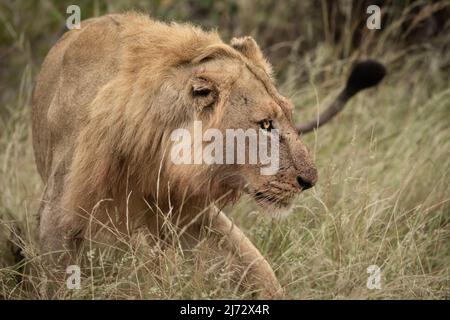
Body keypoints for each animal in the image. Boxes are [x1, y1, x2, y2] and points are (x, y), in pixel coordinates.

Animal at [31, 12, 384, 298]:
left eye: (289, 115)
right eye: (265, 124)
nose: (310, 181)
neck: (158, 151)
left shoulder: (193, 212)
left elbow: (256, 269)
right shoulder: (57, 216)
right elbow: (58, 281)